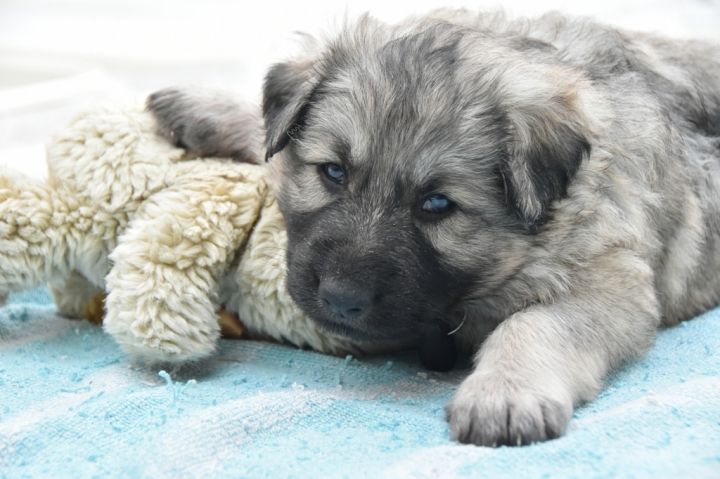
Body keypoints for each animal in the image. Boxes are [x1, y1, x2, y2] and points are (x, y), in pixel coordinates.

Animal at [147, 9, 720, 446]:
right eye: (332, 172)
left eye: (437, 204)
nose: (339, 300)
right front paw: (210, 108)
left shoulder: (613, 287)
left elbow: (535, 324)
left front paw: (503, 392)